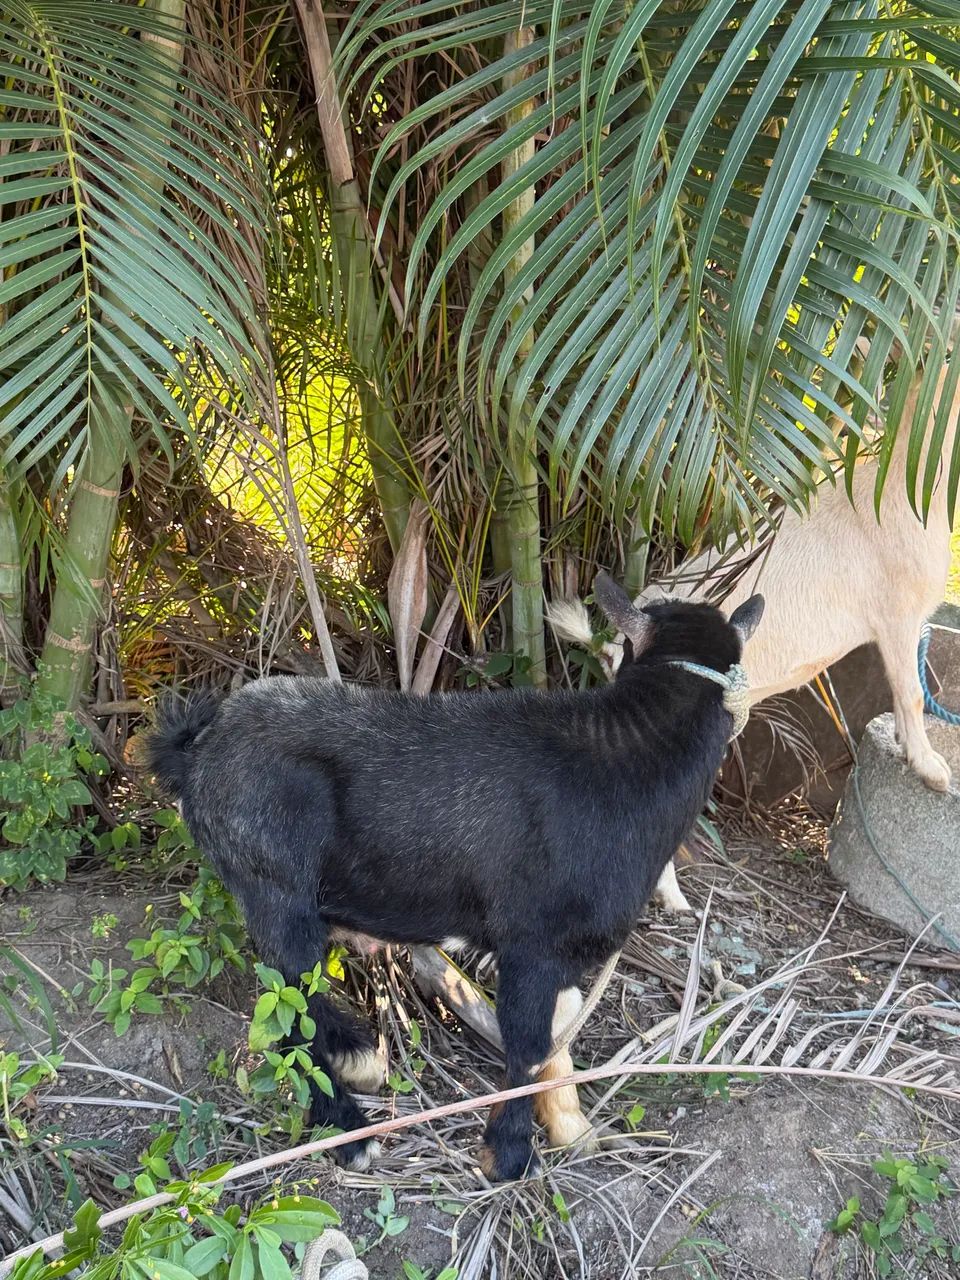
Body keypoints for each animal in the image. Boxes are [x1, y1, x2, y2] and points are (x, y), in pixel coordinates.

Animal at [146, 574, 763, 1181]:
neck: (625, 759)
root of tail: (197, 751)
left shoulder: (564, 955)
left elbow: (558, 1040)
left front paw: (573, 1129)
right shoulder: (531, 945)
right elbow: (527, 1047)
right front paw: (507, 1154)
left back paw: (357, 1059)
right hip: (274, 886)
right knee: (290, 1001)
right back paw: (350, 1127)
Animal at [550, 355, 959, 913]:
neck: (903, 479)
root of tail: (618, 639)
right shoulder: (896, 616)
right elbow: (912, 693)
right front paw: (931, 768)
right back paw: (672, 900)